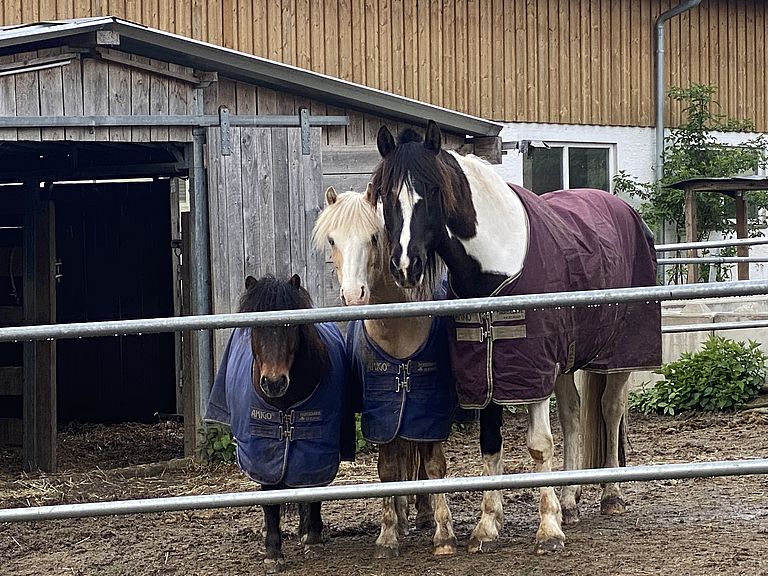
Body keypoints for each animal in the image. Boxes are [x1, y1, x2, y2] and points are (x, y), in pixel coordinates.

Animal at [370, 120, 660, 552]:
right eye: (386, 194)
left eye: (434, 190)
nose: (406, 266)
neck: (495, 265)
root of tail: (624, 209)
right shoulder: (487, 371)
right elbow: (491, 443)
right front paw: (488, 526)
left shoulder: (530, 369)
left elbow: (539, 446)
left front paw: (548, 531)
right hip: (563, 363)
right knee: (573, 415)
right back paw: (570, 502)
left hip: (617, 356)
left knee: (610, 409)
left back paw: (610, 496)